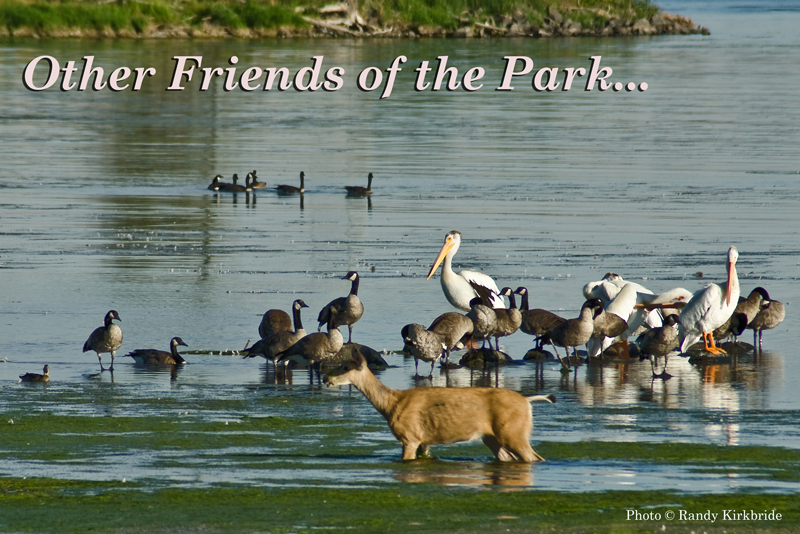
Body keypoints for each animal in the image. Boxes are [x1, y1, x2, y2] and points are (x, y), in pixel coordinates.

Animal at [322, 354, 552, 462]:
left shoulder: (409, 436)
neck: (391, 404)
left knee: (533, 458)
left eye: (345, 366)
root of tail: (527, 401)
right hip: (491, 436)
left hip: (513, 431)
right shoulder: (424, 440)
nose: (326, 378)